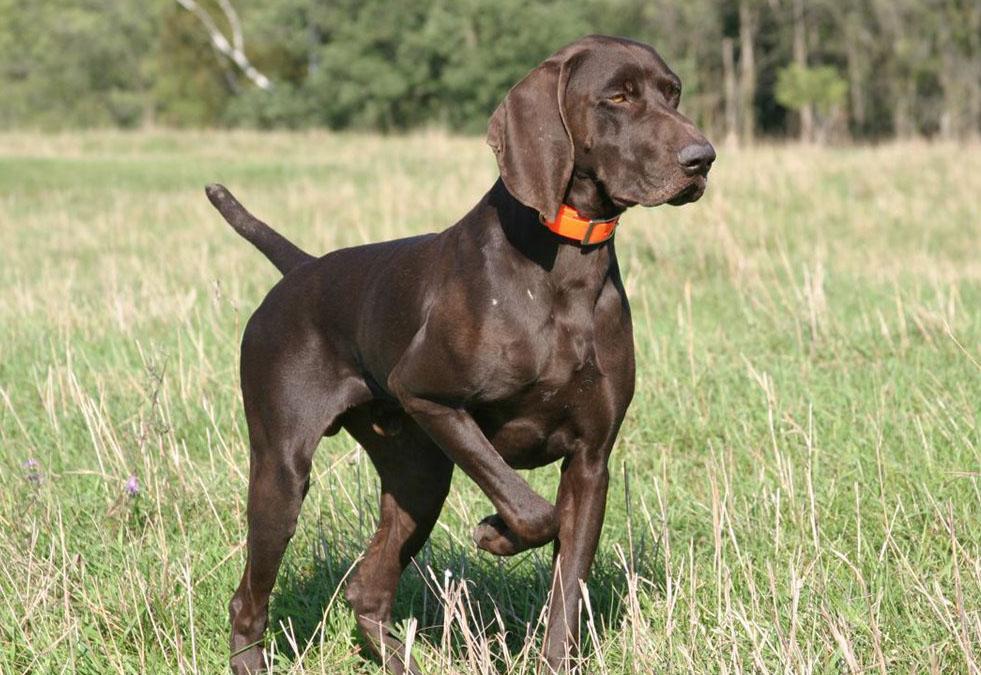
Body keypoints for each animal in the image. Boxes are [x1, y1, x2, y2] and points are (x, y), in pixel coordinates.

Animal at [209, 33, 712, 675]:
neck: (566, 266)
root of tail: (302, 269)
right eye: (618, 97)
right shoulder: (427, 394)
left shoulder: (591, 461)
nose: (703, 157)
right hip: (283, 472)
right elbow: (534, 511)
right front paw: (496, 533)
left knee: (367, 590)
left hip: (419, 477)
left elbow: (567, 589)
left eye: (673, 93)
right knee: (249, 598)